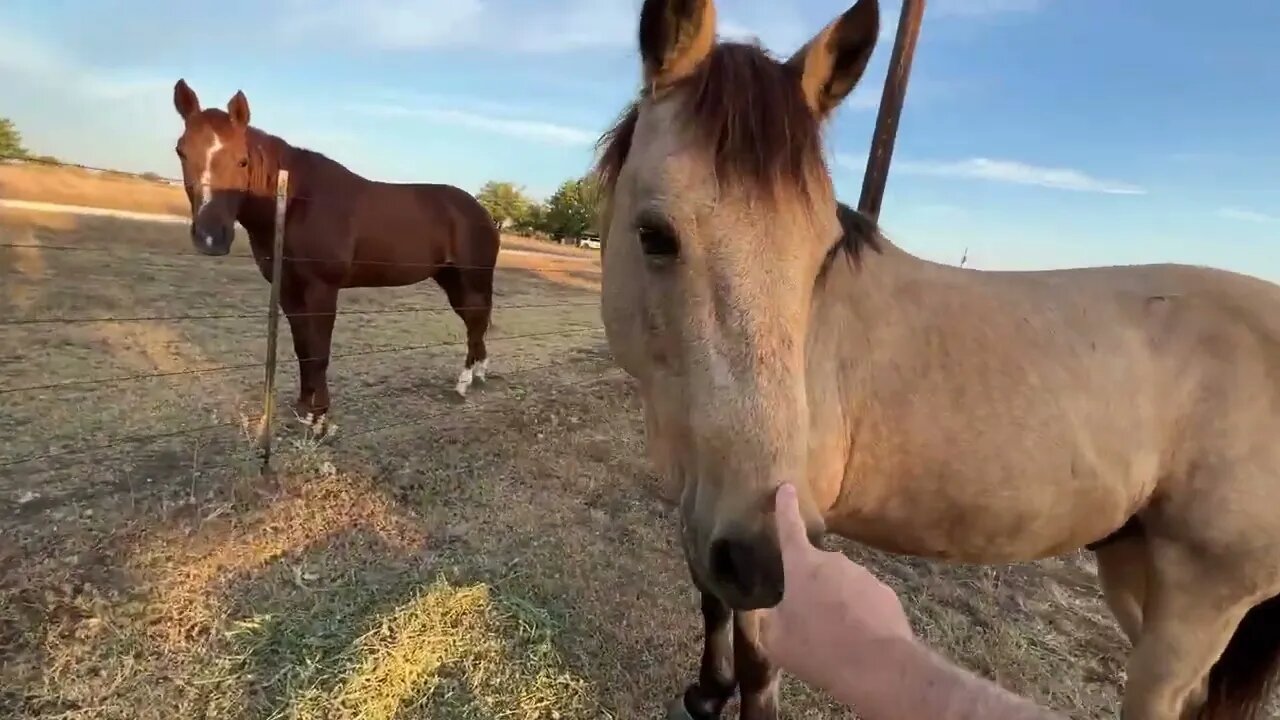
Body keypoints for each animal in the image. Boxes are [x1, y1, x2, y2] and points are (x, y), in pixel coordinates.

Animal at [172, 78, 501, 430]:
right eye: (181, 152)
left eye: (242, 160)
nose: (210, 237)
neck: (297, 202)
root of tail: (483, 213)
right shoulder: (289, 291)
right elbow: (303, 348)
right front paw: (304, 409)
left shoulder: (322, 290)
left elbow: (319, 352)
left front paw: (319, 420)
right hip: (452, 280)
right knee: (477, 322)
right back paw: (478, 374)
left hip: (471, 279)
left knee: (476, 322)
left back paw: (463, 384)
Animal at [593, 1, 1280, 717]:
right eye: (654, 235)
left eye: (824, 254)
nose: (762, 557)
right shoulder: (704, 501)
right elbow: (711, 601)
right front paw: (707, 692)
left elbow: (758, 662)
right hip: (1133, 563)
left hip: (1199, 601)